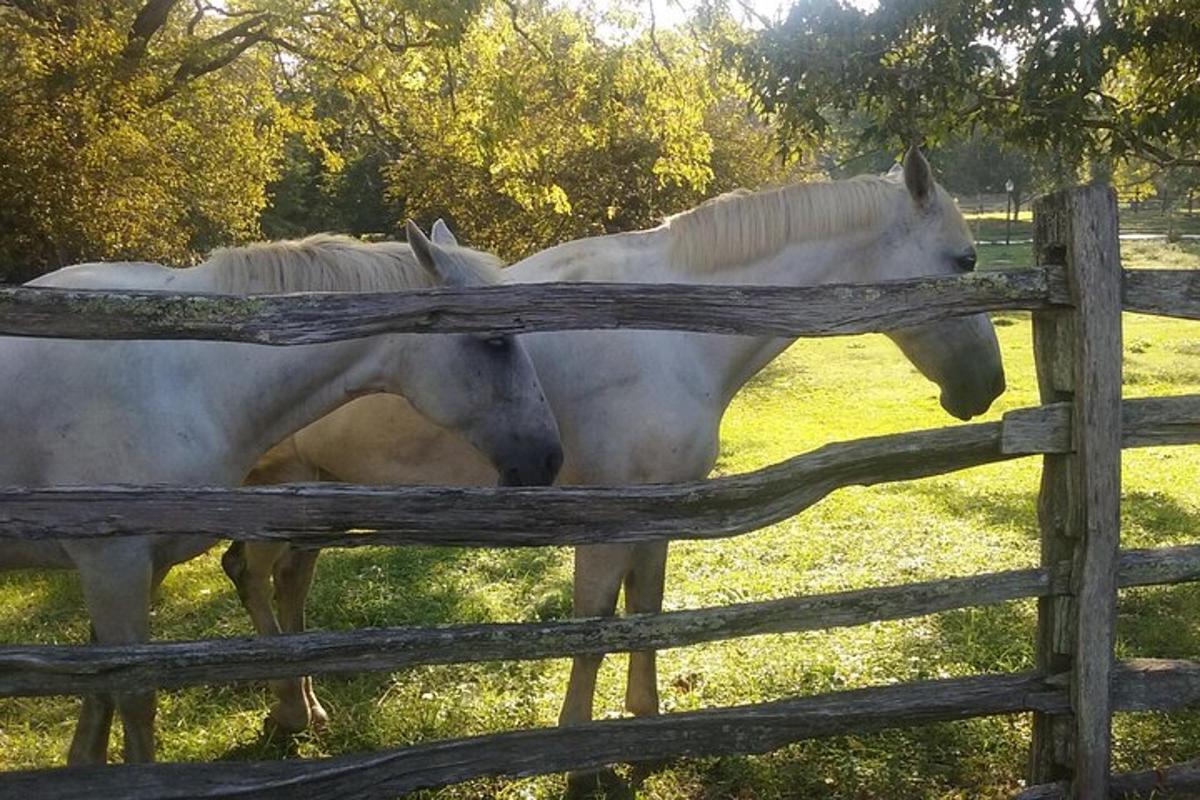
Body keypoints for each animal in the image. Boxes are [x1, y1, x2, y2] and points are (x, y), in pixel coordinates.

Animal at [0, 224, 561, 762]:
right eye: (496, 341)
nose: (549, 458)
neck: (185, 374)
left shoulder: (139, 565)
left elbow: (101, 686)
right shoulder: (112, 564)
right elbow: (135, 698)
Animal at [223, 148, 1003, 782]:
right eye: (964, 262)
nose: (989, 387)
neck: (669, 332)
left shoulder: (659, 511)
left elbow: (645, 612)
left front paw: (646, 730)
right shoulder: (607, 518)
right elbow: (595, 624)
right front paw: (578, 761)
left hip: (319, 497)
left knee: (286, 583)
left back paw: (307, 706)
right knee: (252, 575)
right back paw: (289, 709)